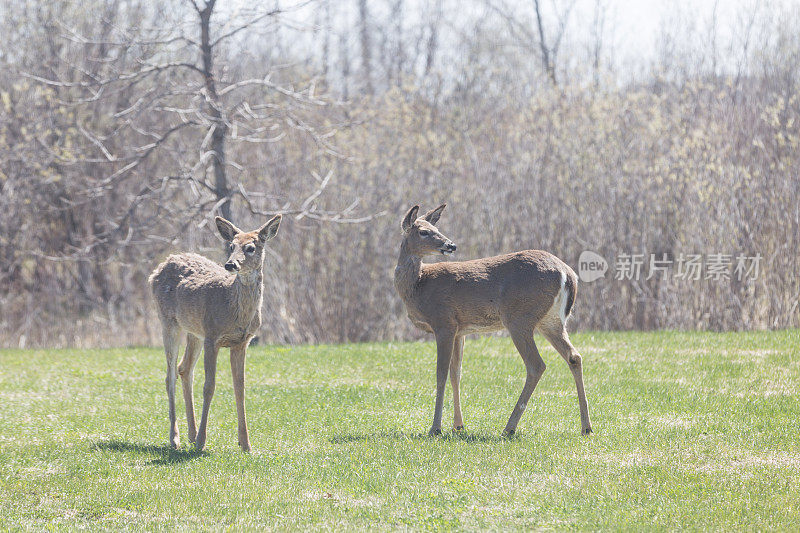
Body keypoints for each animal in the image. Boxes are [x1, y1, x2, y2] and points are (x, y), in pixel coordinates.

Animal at [148, 214, 282, 450]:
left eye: (250, 248)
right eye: (231, 246)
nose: (230, 263)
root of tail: (160, 267)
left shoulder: (241, 342)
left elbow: (240, 387)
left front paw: (246, 444)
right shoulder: (212, 336)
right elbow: (209, 386)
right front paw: (203, 442)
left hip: (194, 331)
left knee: (184, 368)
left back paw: (191, 434)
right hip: (168, 321)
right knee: (169, 375)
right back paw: (176, 438)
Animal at [390, 204, 592, 436]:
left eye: (434, 228)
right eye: (424, 231)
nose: (451, 245)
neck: (418, 286)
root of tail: (568, 274)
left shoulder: (444, 322)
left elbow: (440, 374)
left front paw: (436, 428)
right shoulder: (460, 330)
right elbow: (456, 373)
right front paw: (458, 425)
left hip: (519, 318)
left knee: (536, 365)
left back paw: (509, 428)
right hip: (551, 321)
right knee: (574, 356)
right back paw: (586, 426)